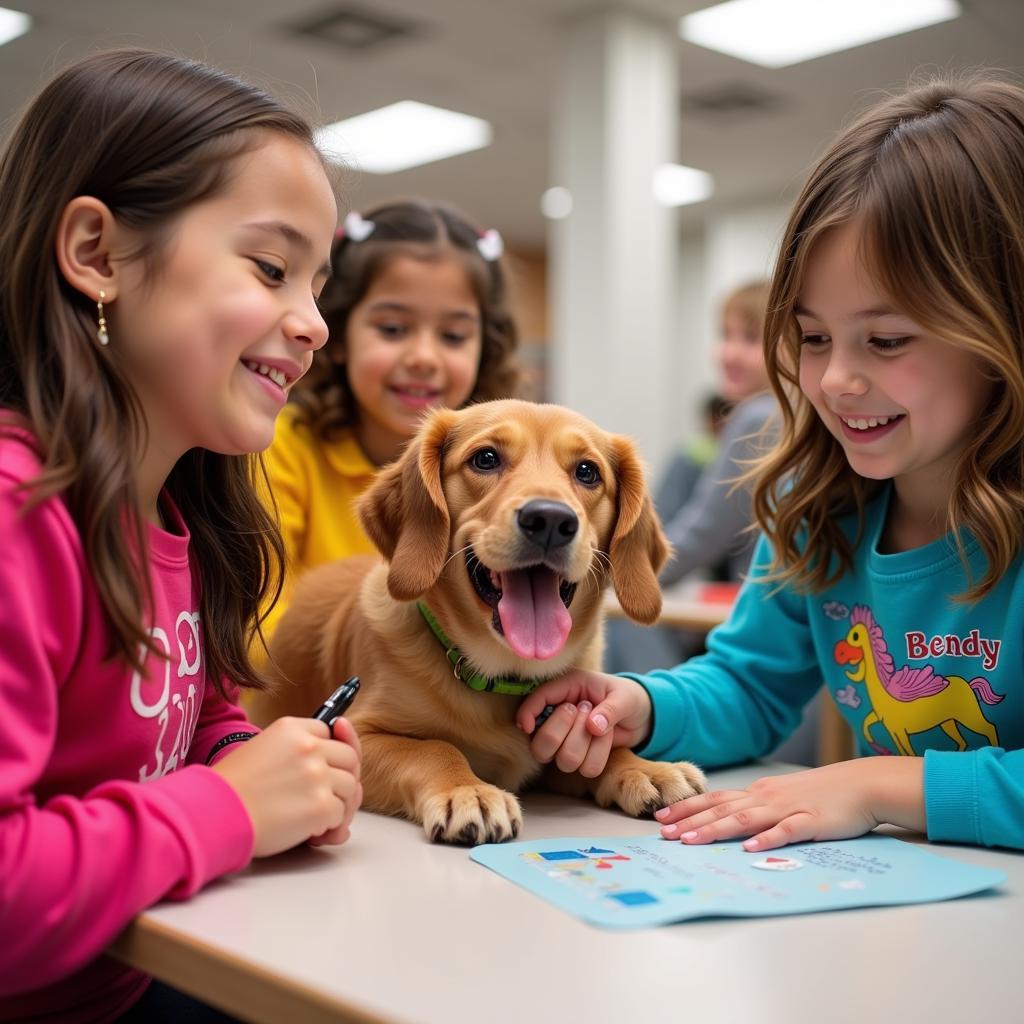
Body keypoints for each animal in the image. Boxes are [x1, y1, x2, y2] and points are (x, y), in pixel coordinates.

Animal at [251, 403, 708, 843]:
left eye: (587, 471)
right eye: (486, 459)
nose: (550, 520)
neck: (504, 679)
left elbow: (602, 746)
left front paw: (646, 767)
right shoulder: (353, 732)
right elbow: (433, 748)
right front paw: (467, 791)